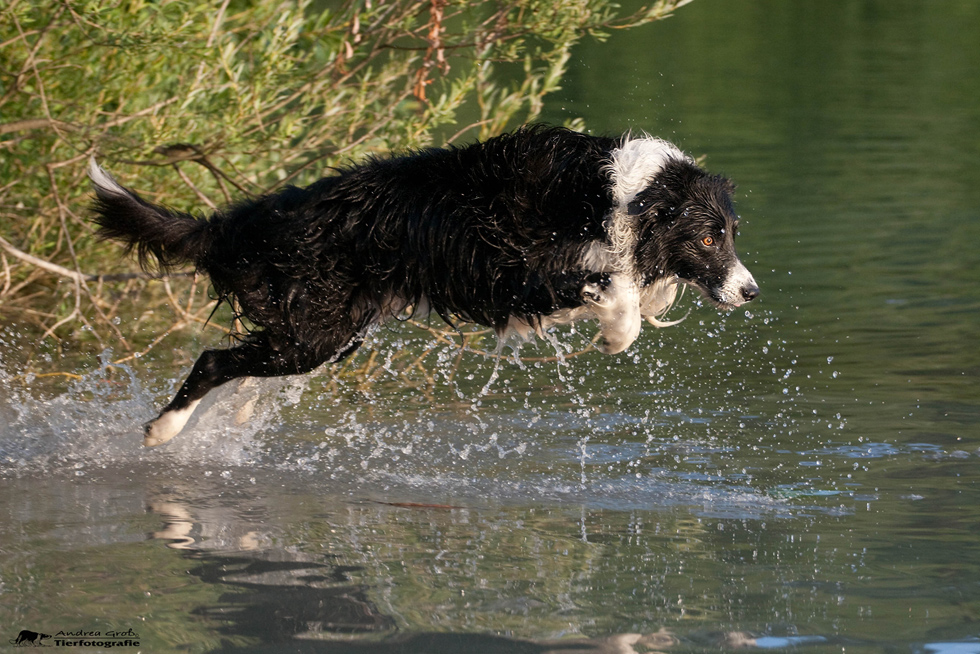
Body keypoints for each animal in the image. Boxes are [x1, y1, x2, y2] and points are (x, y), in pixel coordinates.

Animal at [88, 126, 756, 448]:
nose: (751, 291)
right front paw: (618, 335)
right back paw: (162, 431)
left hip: (326, 332)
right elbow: (618, 293)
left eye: (730, 232)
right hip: (315, 332)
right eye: (707, 239)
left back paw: (238, 410)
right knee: (212, 358)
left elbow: (626, 288)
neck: (617, 194)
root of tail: (269, 214)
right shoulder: (521, 271)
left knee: (246, 363)